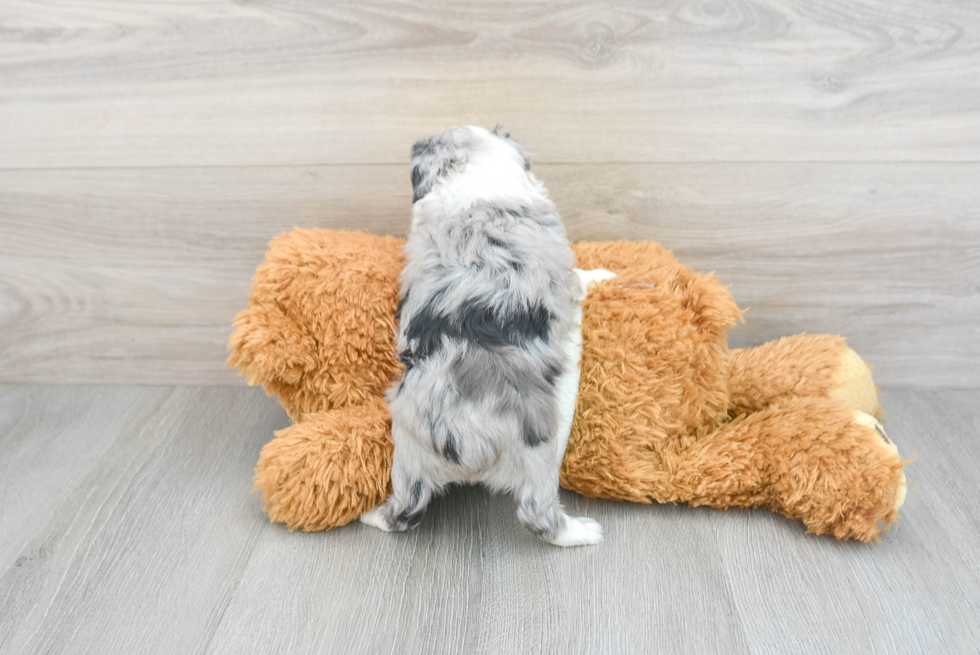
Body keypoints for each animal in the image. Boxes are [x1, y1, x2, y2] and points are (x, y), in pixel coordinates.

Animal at [360, 125, 604, 544]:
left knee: (404, 512)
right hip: (538, 451)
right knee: (538, 516)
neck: (478, 171)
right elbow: (582, 278)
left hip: (408, 455)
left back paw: (371, 517)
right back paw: (584, 532)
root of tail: (460, 433)